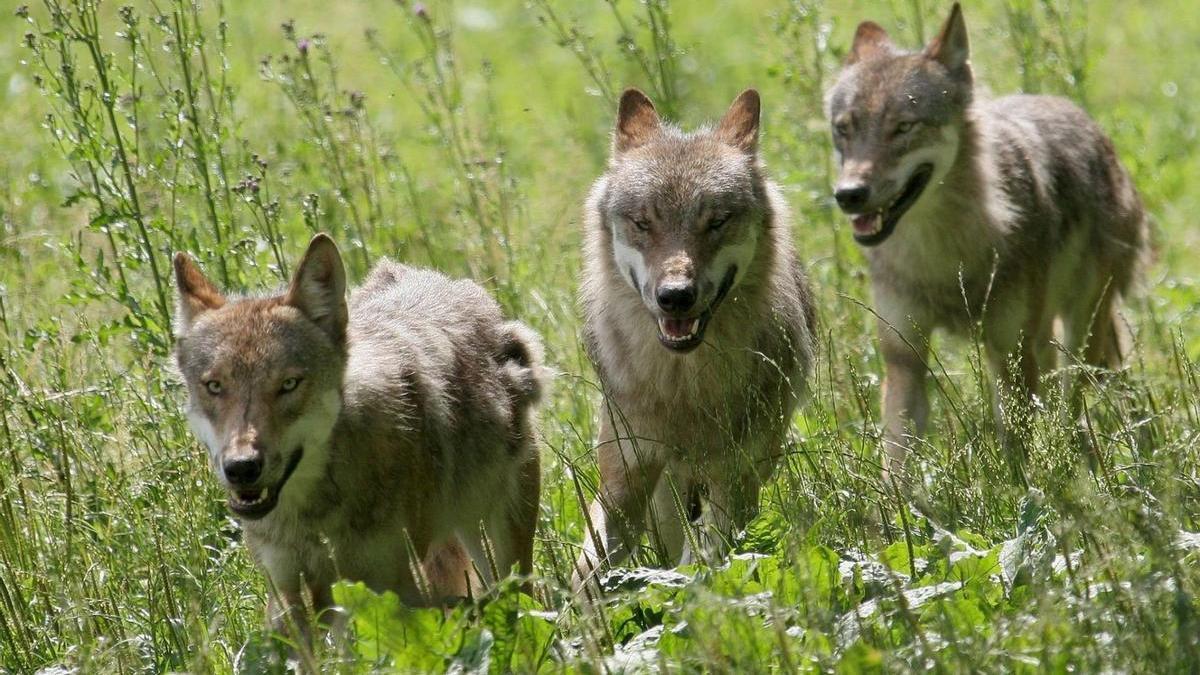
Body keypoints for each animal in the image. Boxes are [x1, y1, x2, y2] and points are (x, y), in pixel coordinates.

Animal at [173, 234, 544, 634]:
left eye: (288, 384)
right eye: (214, 386)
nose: (242, 467)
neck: (313, 513)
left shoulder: (389, 588)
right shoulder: (287, 590)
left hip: (500, 552)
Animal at [572, 88, 818, 591]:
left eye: (717, 221)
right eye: (643, 223)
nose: (675, 297)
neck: (684, 386)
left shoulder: (735, 479)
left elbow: (700, 562)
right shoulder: (623, 477)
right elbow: (587, 572)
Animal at [825, 3, 1149, 480]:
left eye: (904, 127)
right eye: (844, 129)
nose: (848, 195)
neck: (944, 254)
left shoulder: (1007, 352)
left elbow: (1016, 453)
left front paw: (1023, 495)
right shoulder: (904, 358)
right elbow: (898, 462)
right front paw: (896, 503)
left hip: (1077, 337)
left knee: (1070, 406)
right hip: (1043, 340)